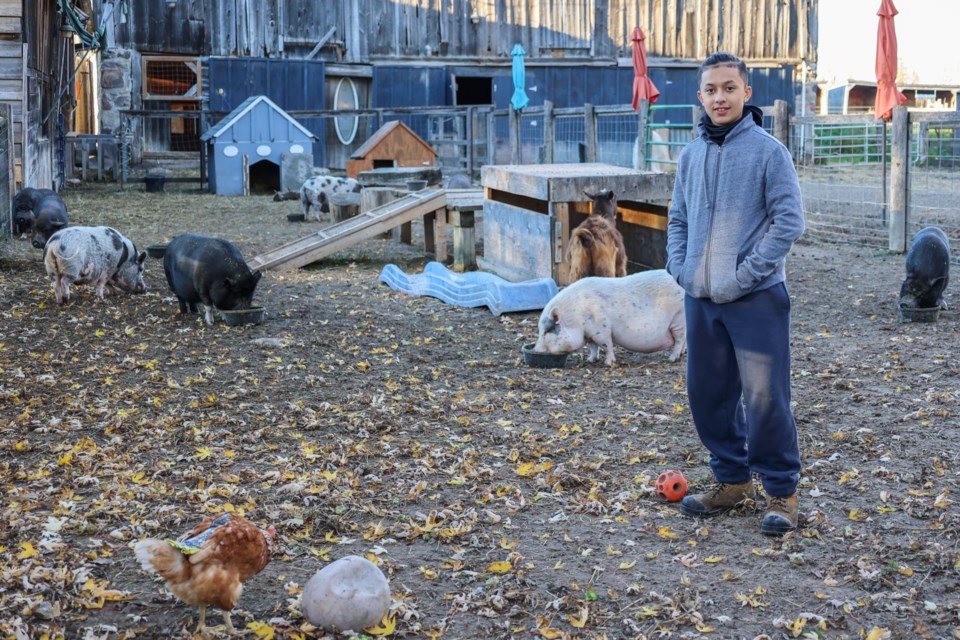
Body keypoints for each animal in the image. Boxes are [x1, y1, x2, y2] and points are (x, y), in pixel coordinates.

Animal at [536, 268, 688, 364]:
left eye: (546, 332)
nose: (535, 350)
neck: (576, 318)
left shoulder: (601, 329)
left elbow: (606, 345)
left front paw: (608, 363)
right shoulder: (590, 334)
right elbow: (593, 347)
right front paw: (590, 360)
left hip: (679, 319)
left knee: (680, 340)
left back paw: (672, 359)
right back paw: (681, 355)